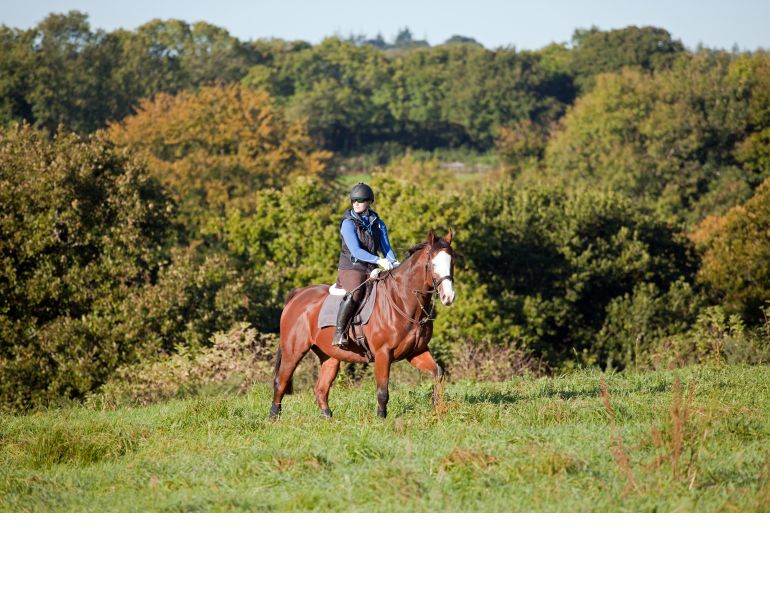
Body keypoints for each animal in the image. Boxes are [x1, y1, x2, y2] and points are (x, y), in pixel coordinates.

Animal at [271, 229, 455, 419]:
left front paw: (437, 407)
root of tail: (298, 294)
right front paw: (381, 419)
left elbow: (439, 373)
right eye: (432, 263)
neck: (402, 301)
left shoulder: (416, 352)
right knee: (280, 382)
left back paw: (328, 418)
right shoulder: (383, 354)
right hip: (293, 352)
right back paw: (273, 416)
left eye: (452, 262)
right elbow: (382, 391)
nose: (448, 297)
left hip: (330, 356)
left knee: (320, 388)